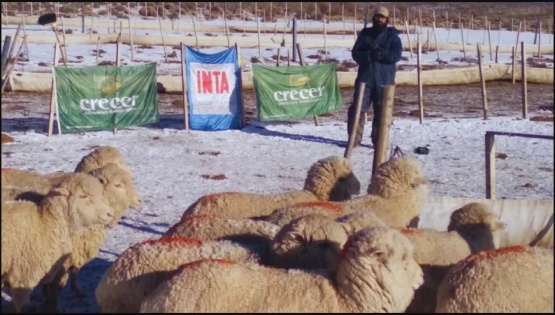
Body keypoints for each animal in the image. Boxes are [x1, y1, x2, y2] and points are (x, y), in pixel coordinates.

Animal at [41, 165, 143, 314]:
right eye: (117, 185)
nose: (140, 200)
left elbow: (74, 272)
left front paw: (77, 291)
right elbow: (55, 286)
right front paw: (51, 306)